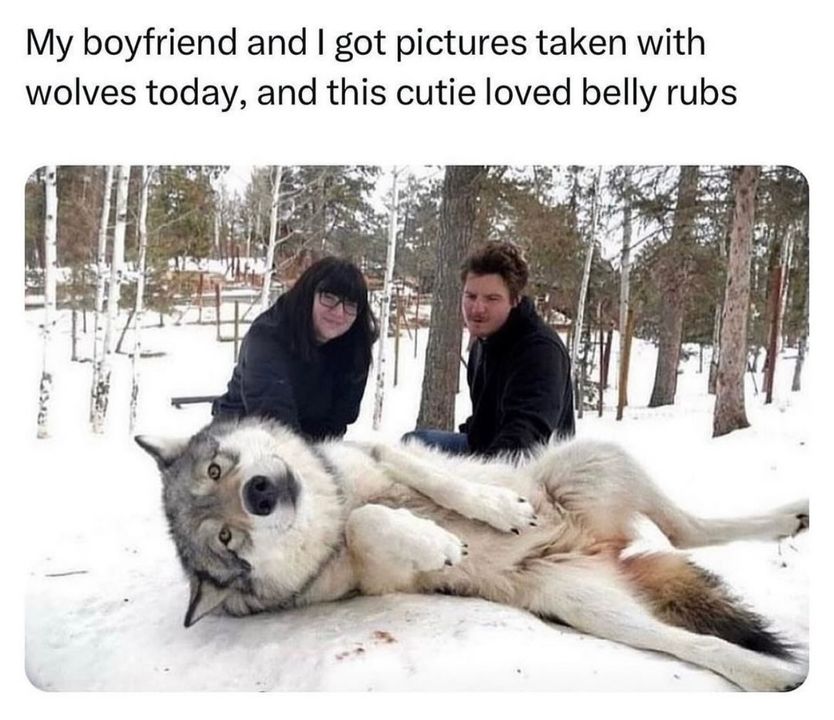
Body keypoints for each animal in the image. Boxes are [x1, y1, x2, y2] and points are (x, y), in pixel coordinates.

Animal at [135, 416, 809, 691]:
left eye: (217, 469)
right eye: (226, 540)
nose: (260, 493)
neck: (329, 501)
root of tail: (600, 547)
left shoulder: (378, 450)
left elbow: (421, 476)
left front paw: (496, 510)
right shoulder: (375, 574)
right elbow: (368, 523)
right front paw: (437, 542)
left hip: (597, 457)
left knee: (688, 529)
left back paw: (792, 517)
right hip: (590, 611)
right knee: (694, 637)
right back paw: (776, 676)